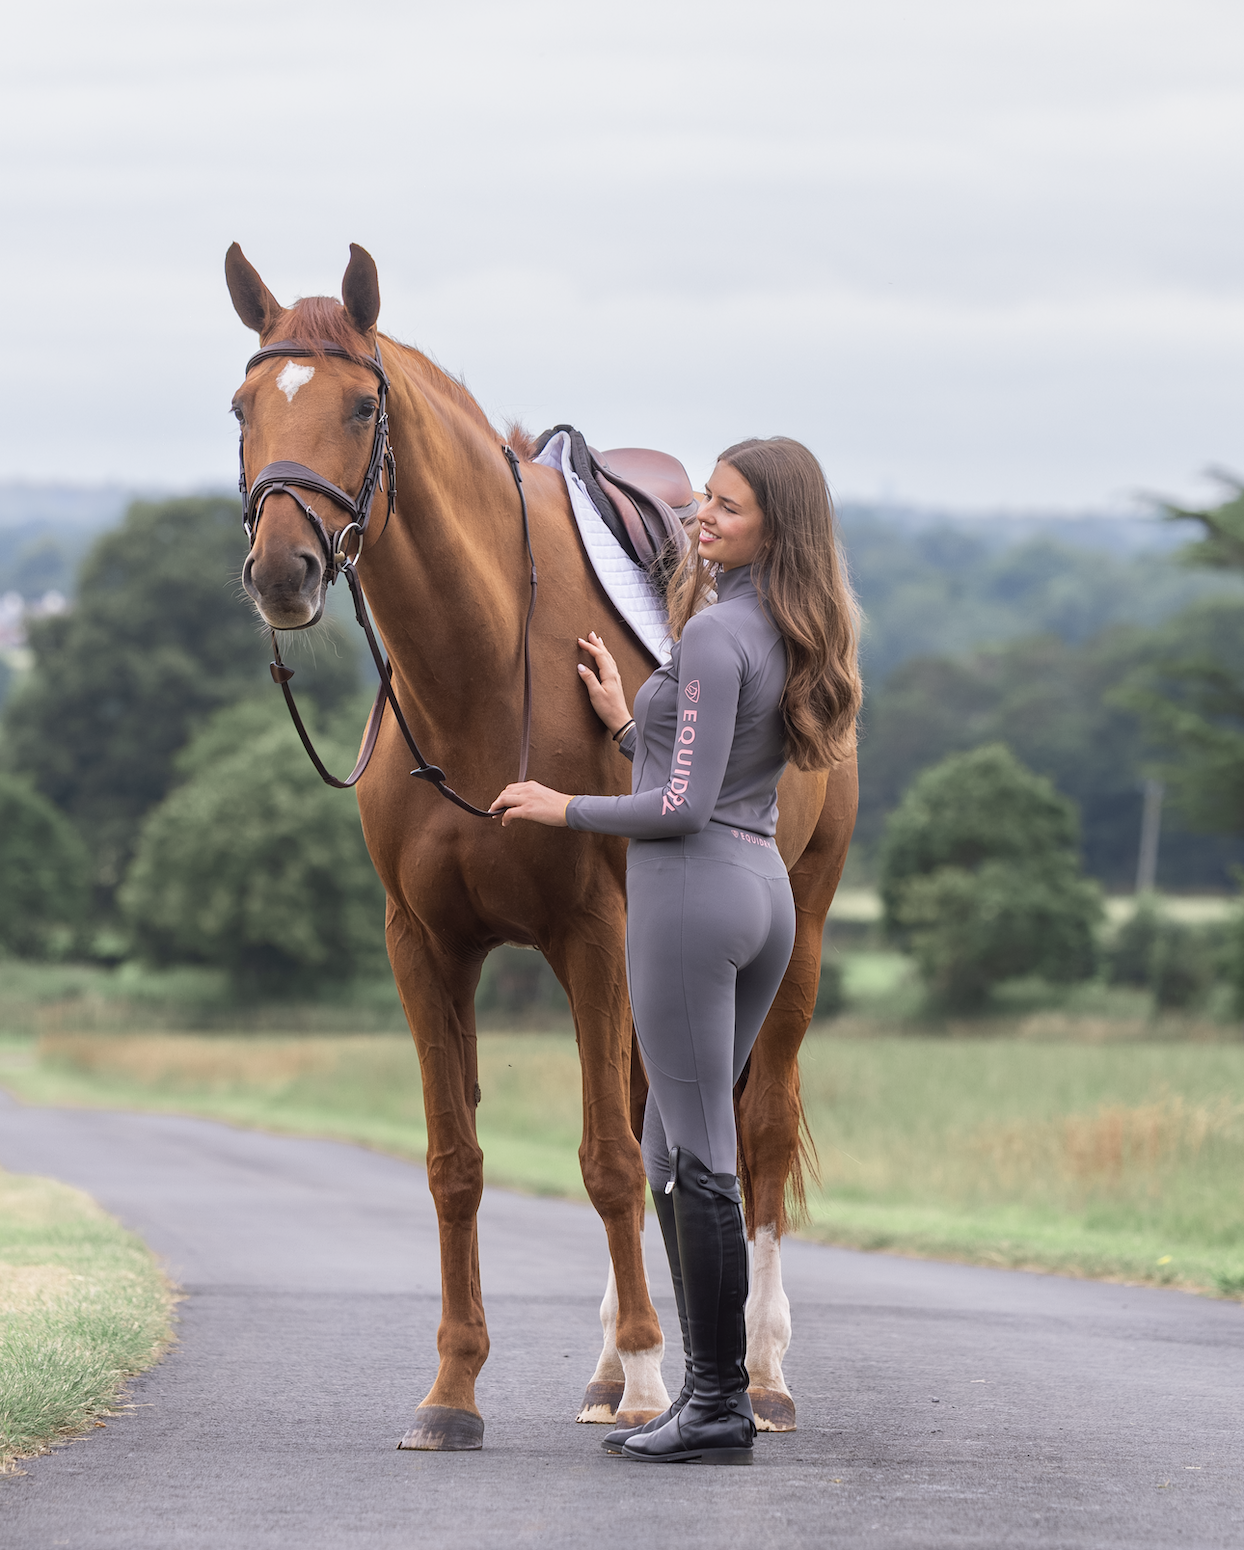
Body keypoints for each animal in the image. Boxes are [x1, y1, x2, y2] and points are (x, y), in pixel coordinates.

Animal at [225, 242, 858, 1450]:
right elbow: (456, 1163)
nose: (284, 569)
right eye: (243, 406)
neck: (481, 668)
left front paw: (658, 1380)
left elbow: (607, 1160)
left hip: (791, 938)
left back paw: (752, 1374)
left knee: (748, 1134)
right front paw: (453, 1391)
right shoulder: (424, 945)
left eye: (363, 406)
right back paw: (614, 1366)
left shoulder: (593, 935)